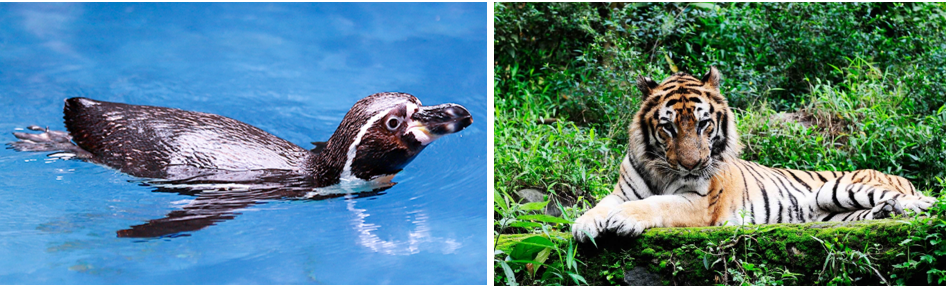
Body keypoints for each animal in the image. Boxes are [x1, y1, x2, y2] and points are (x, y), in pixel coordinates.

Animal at [568, 67, 936, 243]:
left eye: (703, 123)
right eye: (668, 127)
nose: (692, 164)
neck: (663, 170)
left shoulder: (699, 202)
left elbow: (657, 203)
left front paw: (623, 220)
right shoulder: (623, 192)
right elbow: (600, 205)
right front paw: (585, 224)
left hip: (840, 188)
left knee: (917, 200)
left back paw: (913, 206)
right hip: (831, 212)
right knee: (871, 212)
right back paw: (883, 213)